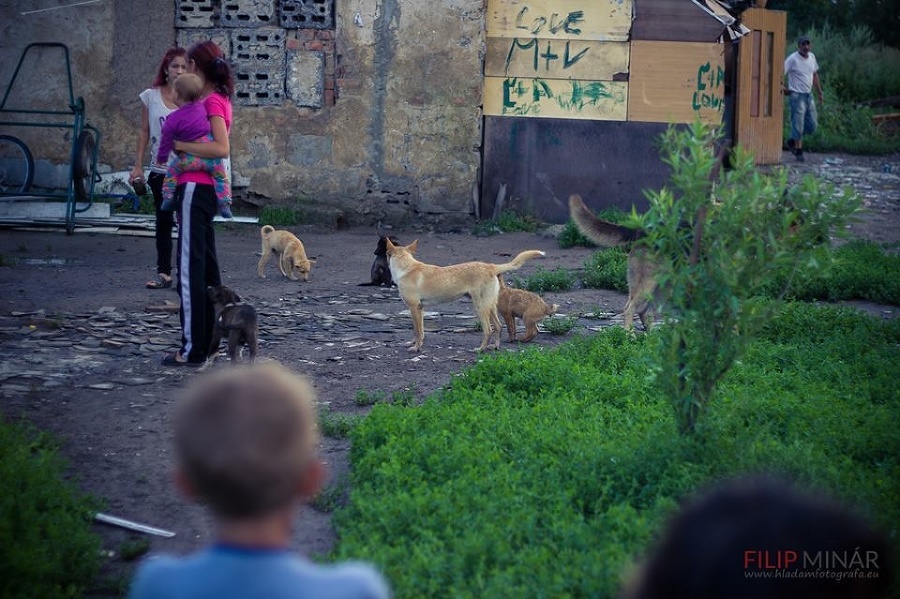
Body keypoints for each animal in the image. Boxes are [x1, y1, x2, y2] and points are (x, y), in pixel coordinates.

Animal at [384, 238, 544, 354]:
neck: (406, 268)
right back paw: (494, 347)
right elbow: (420, 330)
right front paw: (413, 343)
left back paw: (480, 349)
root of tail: (491, 266)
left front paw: (416, 348)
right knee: (499, 327)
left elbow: (417, 331)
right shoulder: (420, 309)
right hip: (491, 307)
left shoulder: (414, 308)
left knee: (488, 330)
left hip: (480, 308)